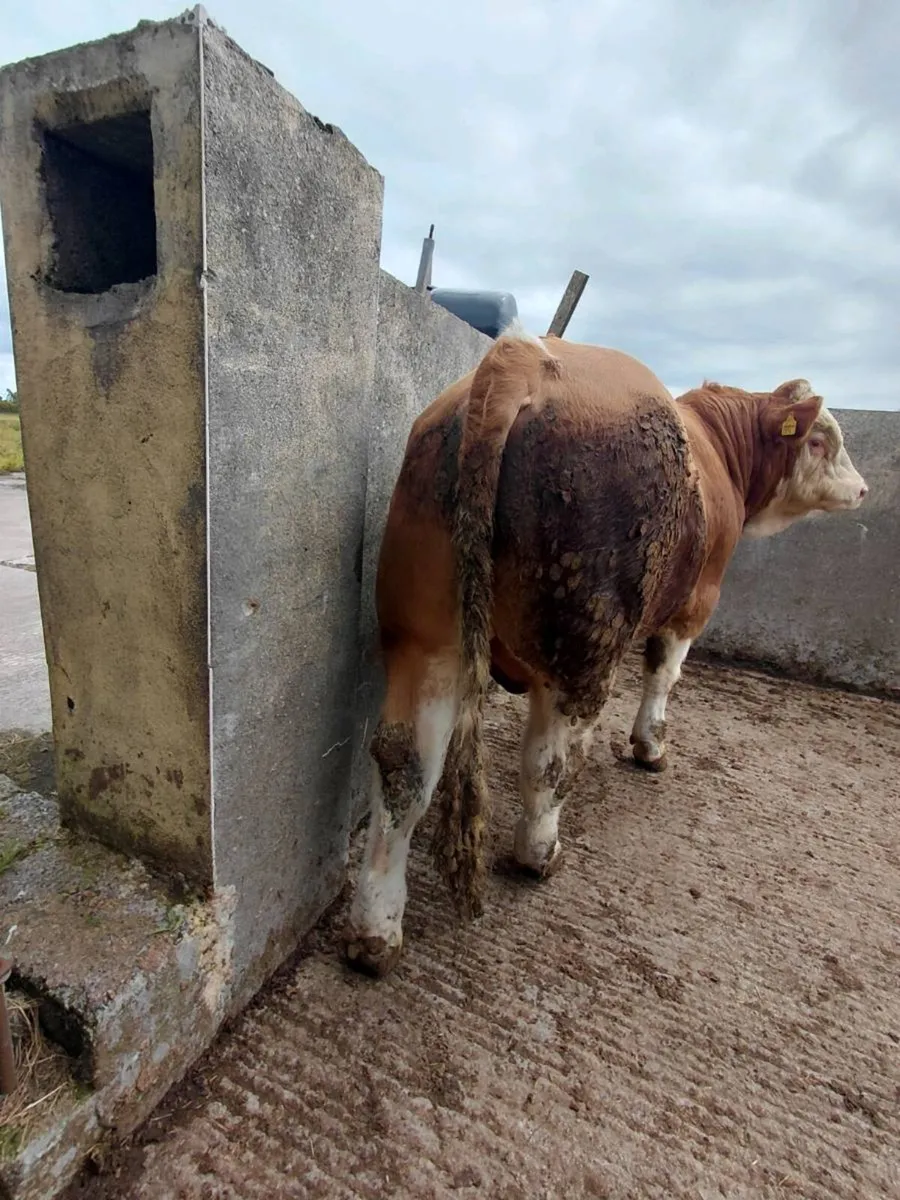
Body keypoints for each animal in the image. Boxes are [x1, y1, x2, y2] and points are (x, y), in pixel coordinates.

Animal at [344, 322, 868, 978]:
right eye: (821, 440)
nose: (863, 488)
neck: (720, 453)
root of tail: (521, 356)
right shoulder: (697, 602)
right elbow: (663, 674)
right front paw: (650, 748)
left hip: (425, 638)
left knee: (405, 766)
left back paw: (374, 932)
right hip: (581, 646)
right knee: (548, 761)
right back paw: (539, 853)